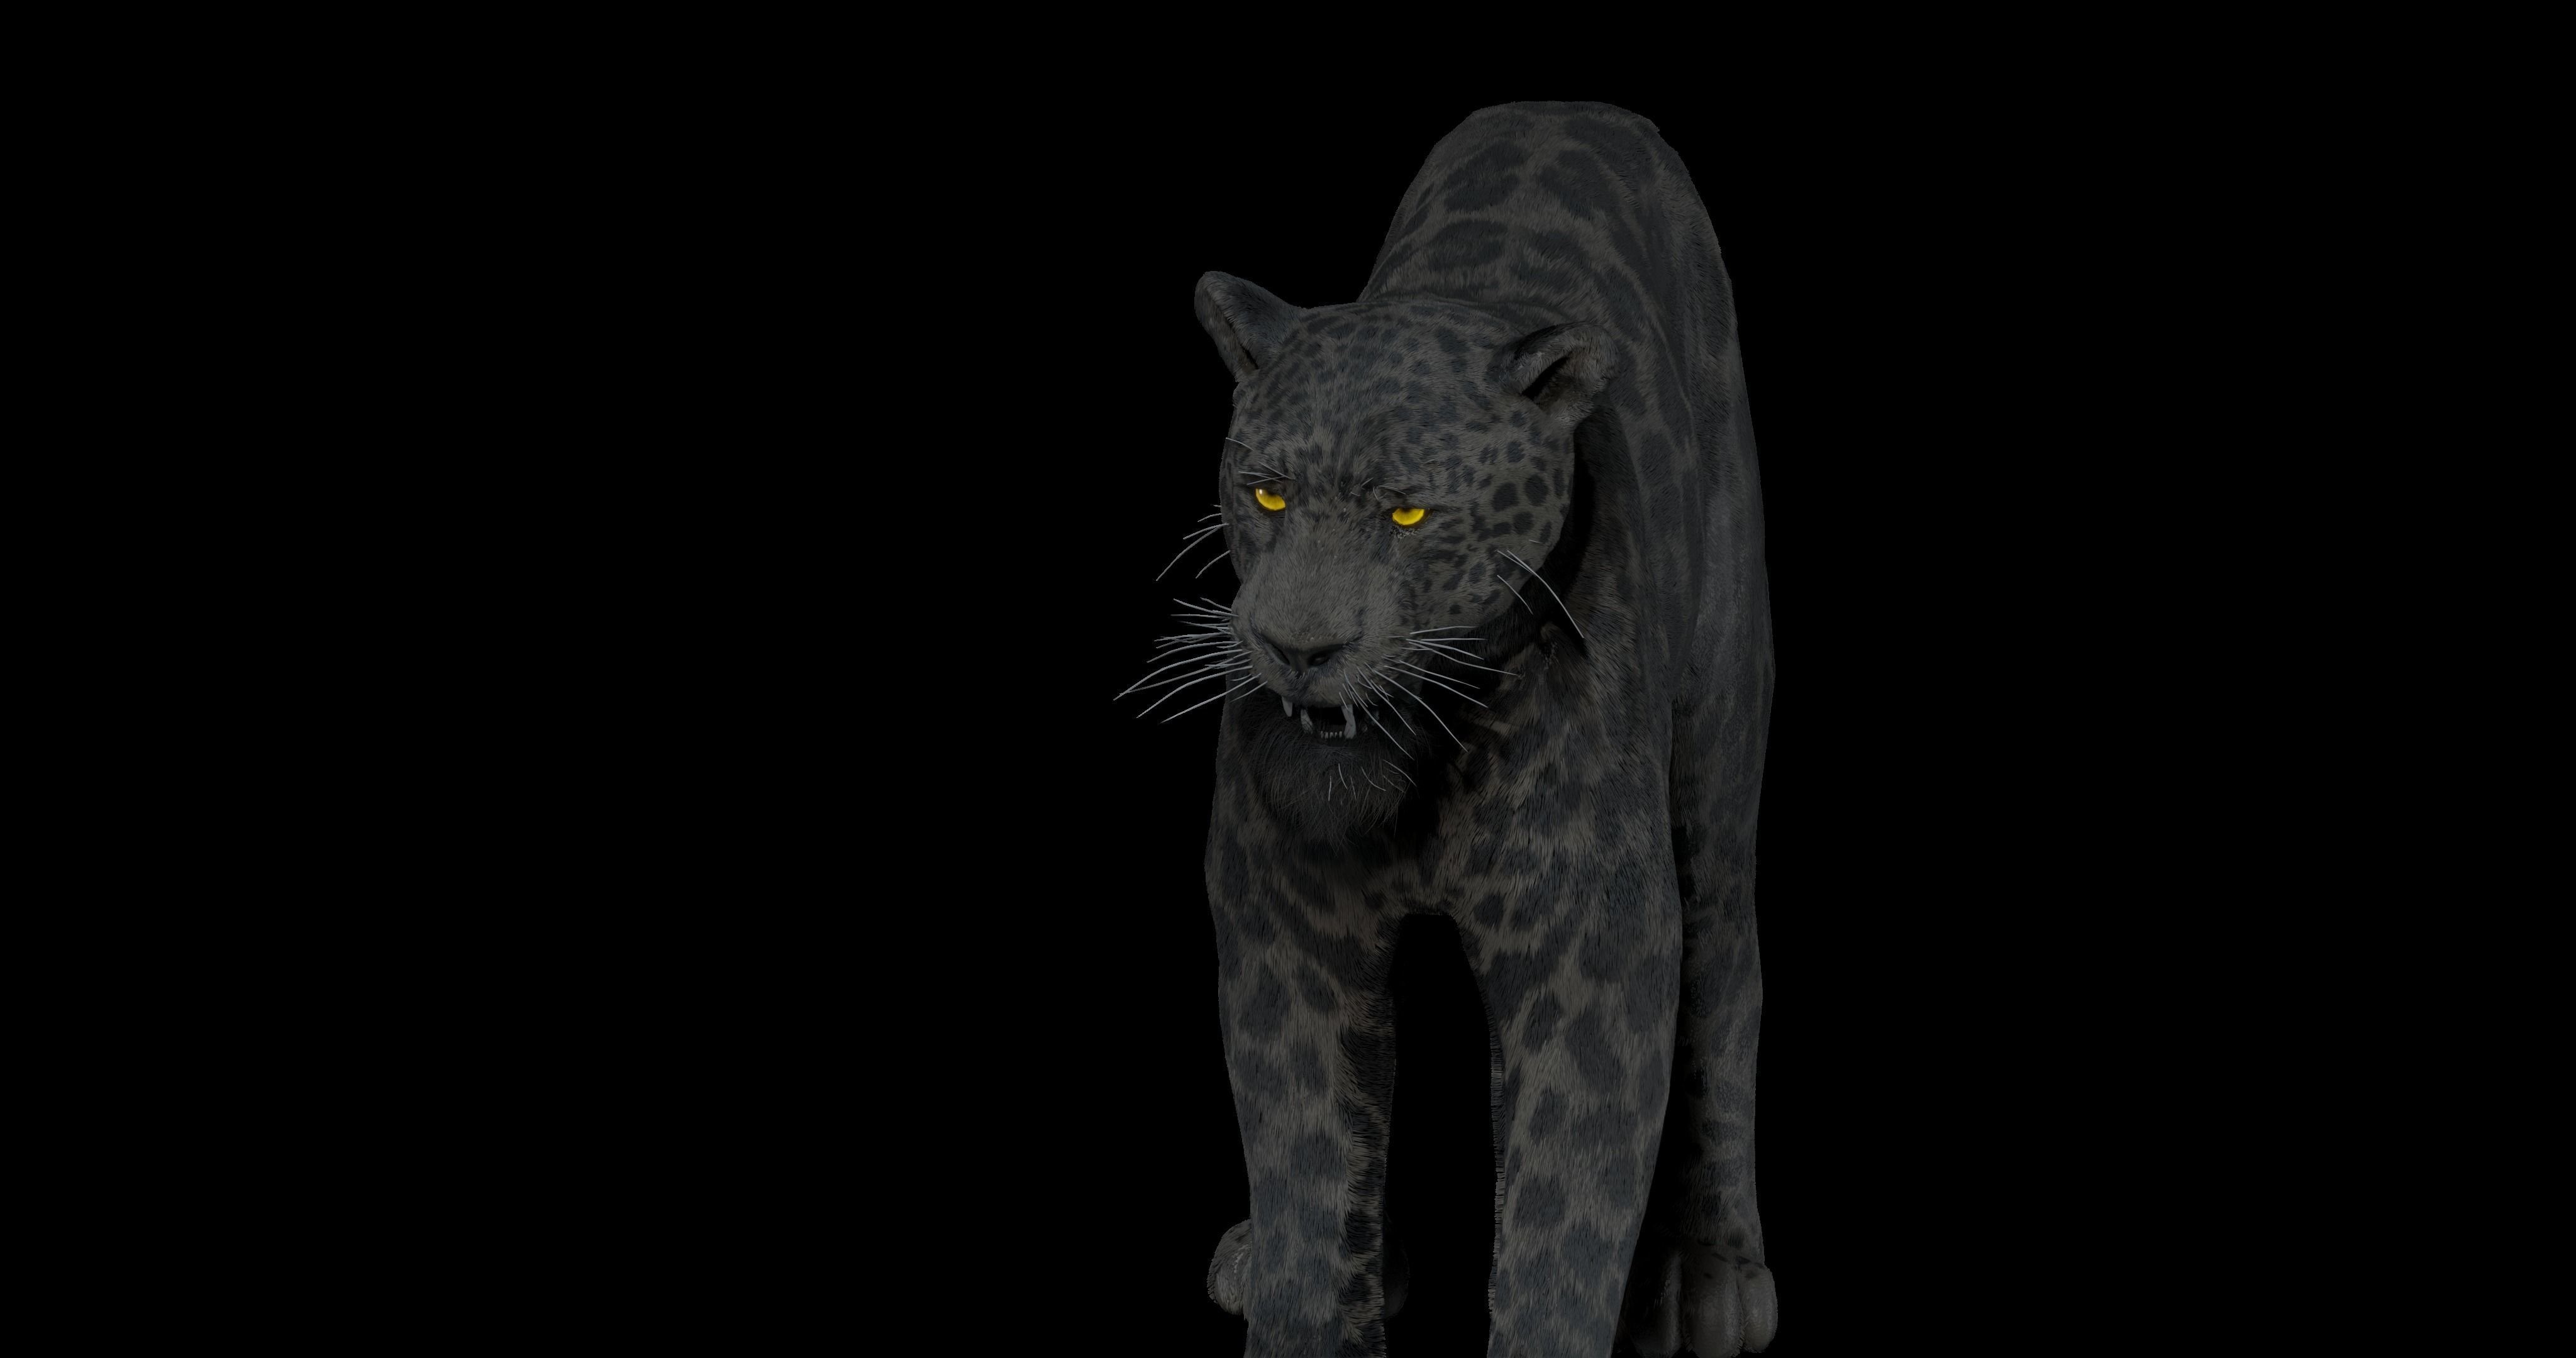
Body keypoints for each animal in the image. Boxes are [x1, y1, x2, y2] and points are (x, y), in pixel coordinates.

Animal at [1135, 100, 1777, 1358]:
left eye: (1411, 513)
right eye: (1266, 492)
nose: (1297, 645)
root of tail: (1577, 105)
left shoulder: (1589, 957)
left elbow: (1562, 1225)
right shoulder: (1287, 930)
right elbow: (1309, 1168)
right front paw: (1300, 1290)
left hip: (1720, 763)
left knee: (1731, 974)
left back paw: (1715, 1278)